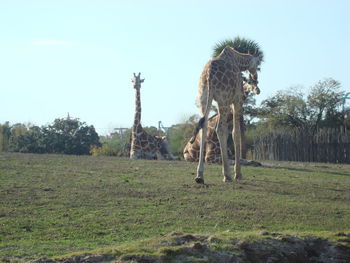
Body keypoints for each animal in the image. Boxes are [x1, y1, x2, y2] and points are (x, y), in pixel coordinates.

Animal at [196, 46, 262, 185]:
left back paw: (200, 175)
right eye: (258, 63)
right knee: (220, 129)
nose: (255, 76)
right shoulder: (237, 99)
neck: (237, 60)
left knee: (203, 127)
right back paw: (227, 175)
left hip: (203, 99)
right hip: (223, 100)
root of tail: (209, 76)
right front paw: (238, 174)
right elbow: (235, 133)